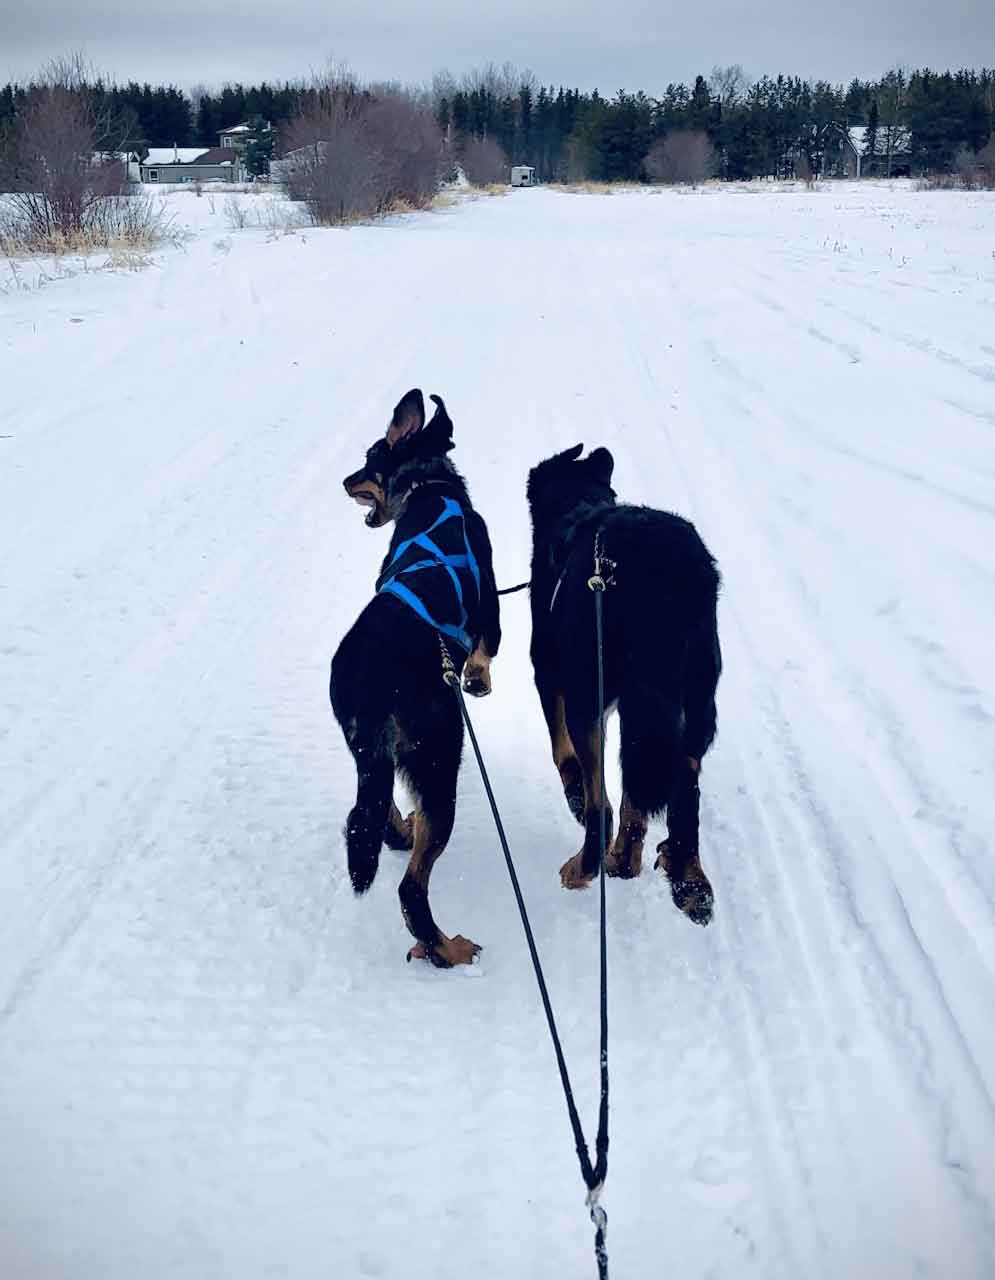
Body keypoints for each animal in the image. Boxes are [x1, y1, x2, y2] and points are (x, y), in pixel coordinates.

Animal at [327, 389, 501, 967]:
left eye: (370, 457)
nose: (345, 480)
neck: (431, 490)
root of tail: (373, 682)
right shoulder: (493, 612)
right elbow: (487, 649)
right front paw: (478, 679)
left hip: (371, 749)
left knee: (372, 810)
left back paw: (401, 829)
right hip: (441, 754)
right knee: (411, 886)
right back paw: (446, 948)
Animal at [525, 445, 717, 926]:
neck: (579, 501)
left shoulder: (549, 675)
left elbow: (564, 756)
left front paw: (574, 792)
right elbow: (637, 796)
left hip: (587, 693)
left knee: (603, 807)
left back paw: (585, 866)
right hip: (694, 702)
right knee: (683, 793)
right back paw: (681, 878)